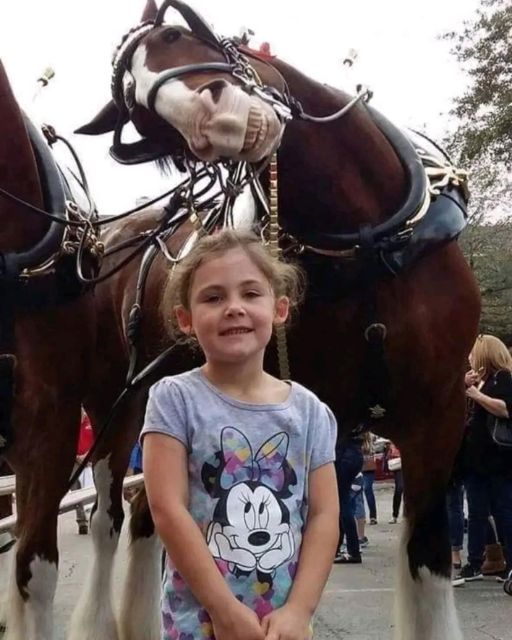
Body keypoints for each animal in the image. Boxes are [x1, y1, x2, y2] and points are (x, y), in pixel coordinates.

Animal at [74, 1, 481, 638]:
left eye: (177, 34)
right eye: (146, 123)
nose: (218, 122)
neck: (368, 245)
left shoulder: (438, 418)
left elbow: (429, 561)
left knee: (144, 516)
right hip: (115, 405)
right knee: (108, 517)